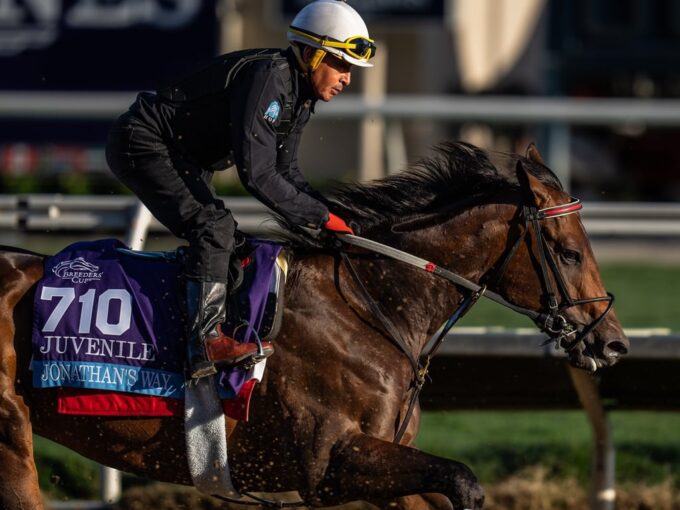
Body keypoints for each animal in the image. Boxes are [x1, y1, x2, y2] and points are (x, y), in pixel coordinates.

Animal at [0, 141, 628, 508]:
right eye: (570, 252)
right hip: (12, 434)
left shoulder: (385, 464)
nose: (613, 341)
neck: (371, 307)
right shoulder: (329, 462)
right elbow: (463, 480)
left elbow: (450, 481)